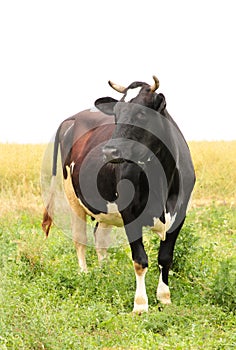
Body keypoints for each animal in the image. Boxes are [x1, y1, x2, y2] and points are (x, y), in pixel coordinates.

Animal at [42, 76, 195, 312]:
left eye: (142, 113)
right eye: (116, 113)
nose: (109, 151)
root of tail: (73, 117)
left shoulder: (179, 215)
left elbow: (165, 257)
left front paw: (164, 298)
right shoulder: (130, 212)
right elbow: (140, 260)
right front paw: (140, 305)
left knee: (100, 238)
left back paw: (105, 274)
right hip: (72, 196)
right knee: (80, 238)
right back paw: (84, 274)